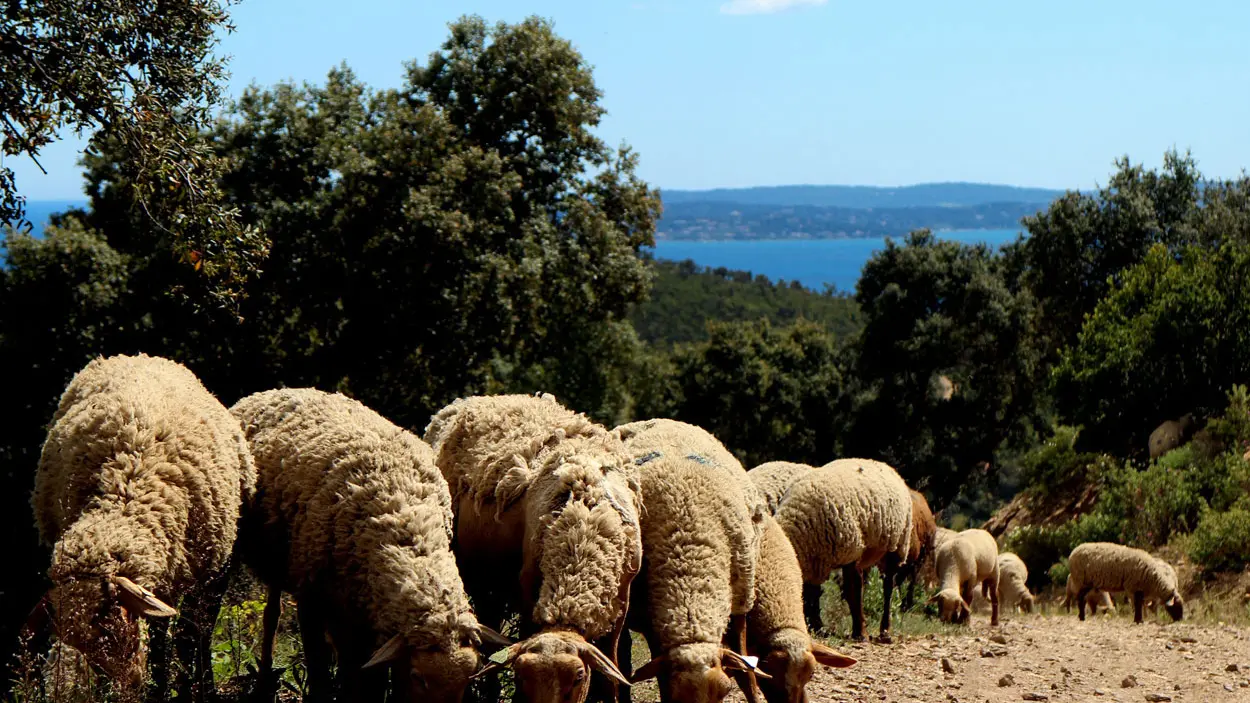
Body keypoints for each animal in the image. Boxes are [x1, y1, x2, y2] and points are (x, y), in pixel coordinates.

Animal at [31, 352, 253, 695]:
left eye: (114, 621)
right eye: (86, 648)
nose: (129, 685)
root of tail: (134, 355)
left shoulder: (195, 572)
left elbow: (177, 638)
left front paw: (170, 688)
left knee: (198, 632)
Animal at [232, 387, 505, 700]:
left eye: (467, 681)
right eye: (418, 677)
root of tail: (280, 389)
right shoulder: (311, 598)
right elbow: (321, 665)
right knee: (272, 617)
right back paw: (264, 681)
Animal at [425, 390, 640, 700]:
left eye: (578, 678)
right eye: (521, 676)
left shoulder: (621, 600)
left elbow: (610, 673)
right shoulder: (527, 588)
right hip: (479, 577)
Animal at [770, 455, 910, 640]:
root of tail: (882, 464)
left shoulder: (852, 554)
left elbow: (854, 592)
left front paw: (860, 633)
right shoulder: (814, 560)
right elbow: (811, 594)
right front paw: (816, 626)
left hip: (897, 546)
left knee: (888, 588)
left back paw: (885, 630)